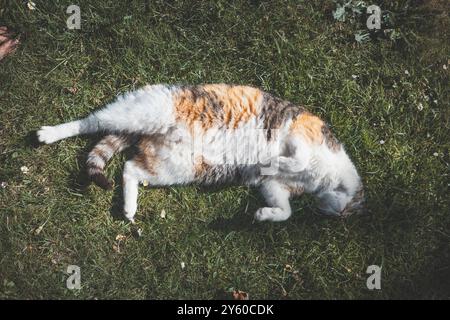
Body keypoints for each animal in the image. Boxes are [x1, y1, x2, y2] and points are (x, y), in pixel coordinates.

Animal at [37, 84, 364, 221]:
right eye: (340, 211)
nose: (324, 211)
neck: (323, 178)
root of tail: (151, 132)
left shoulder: (275, 186)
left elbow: (285, 209)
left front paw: (265, 214)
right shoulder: (304, 131)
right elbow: (296, 157)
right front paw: (274, 159)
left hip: (177, 167)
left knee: (130, 168)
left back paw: (129, 207)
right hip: (146, 111)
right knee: (92, 121)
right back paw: (50, 133)